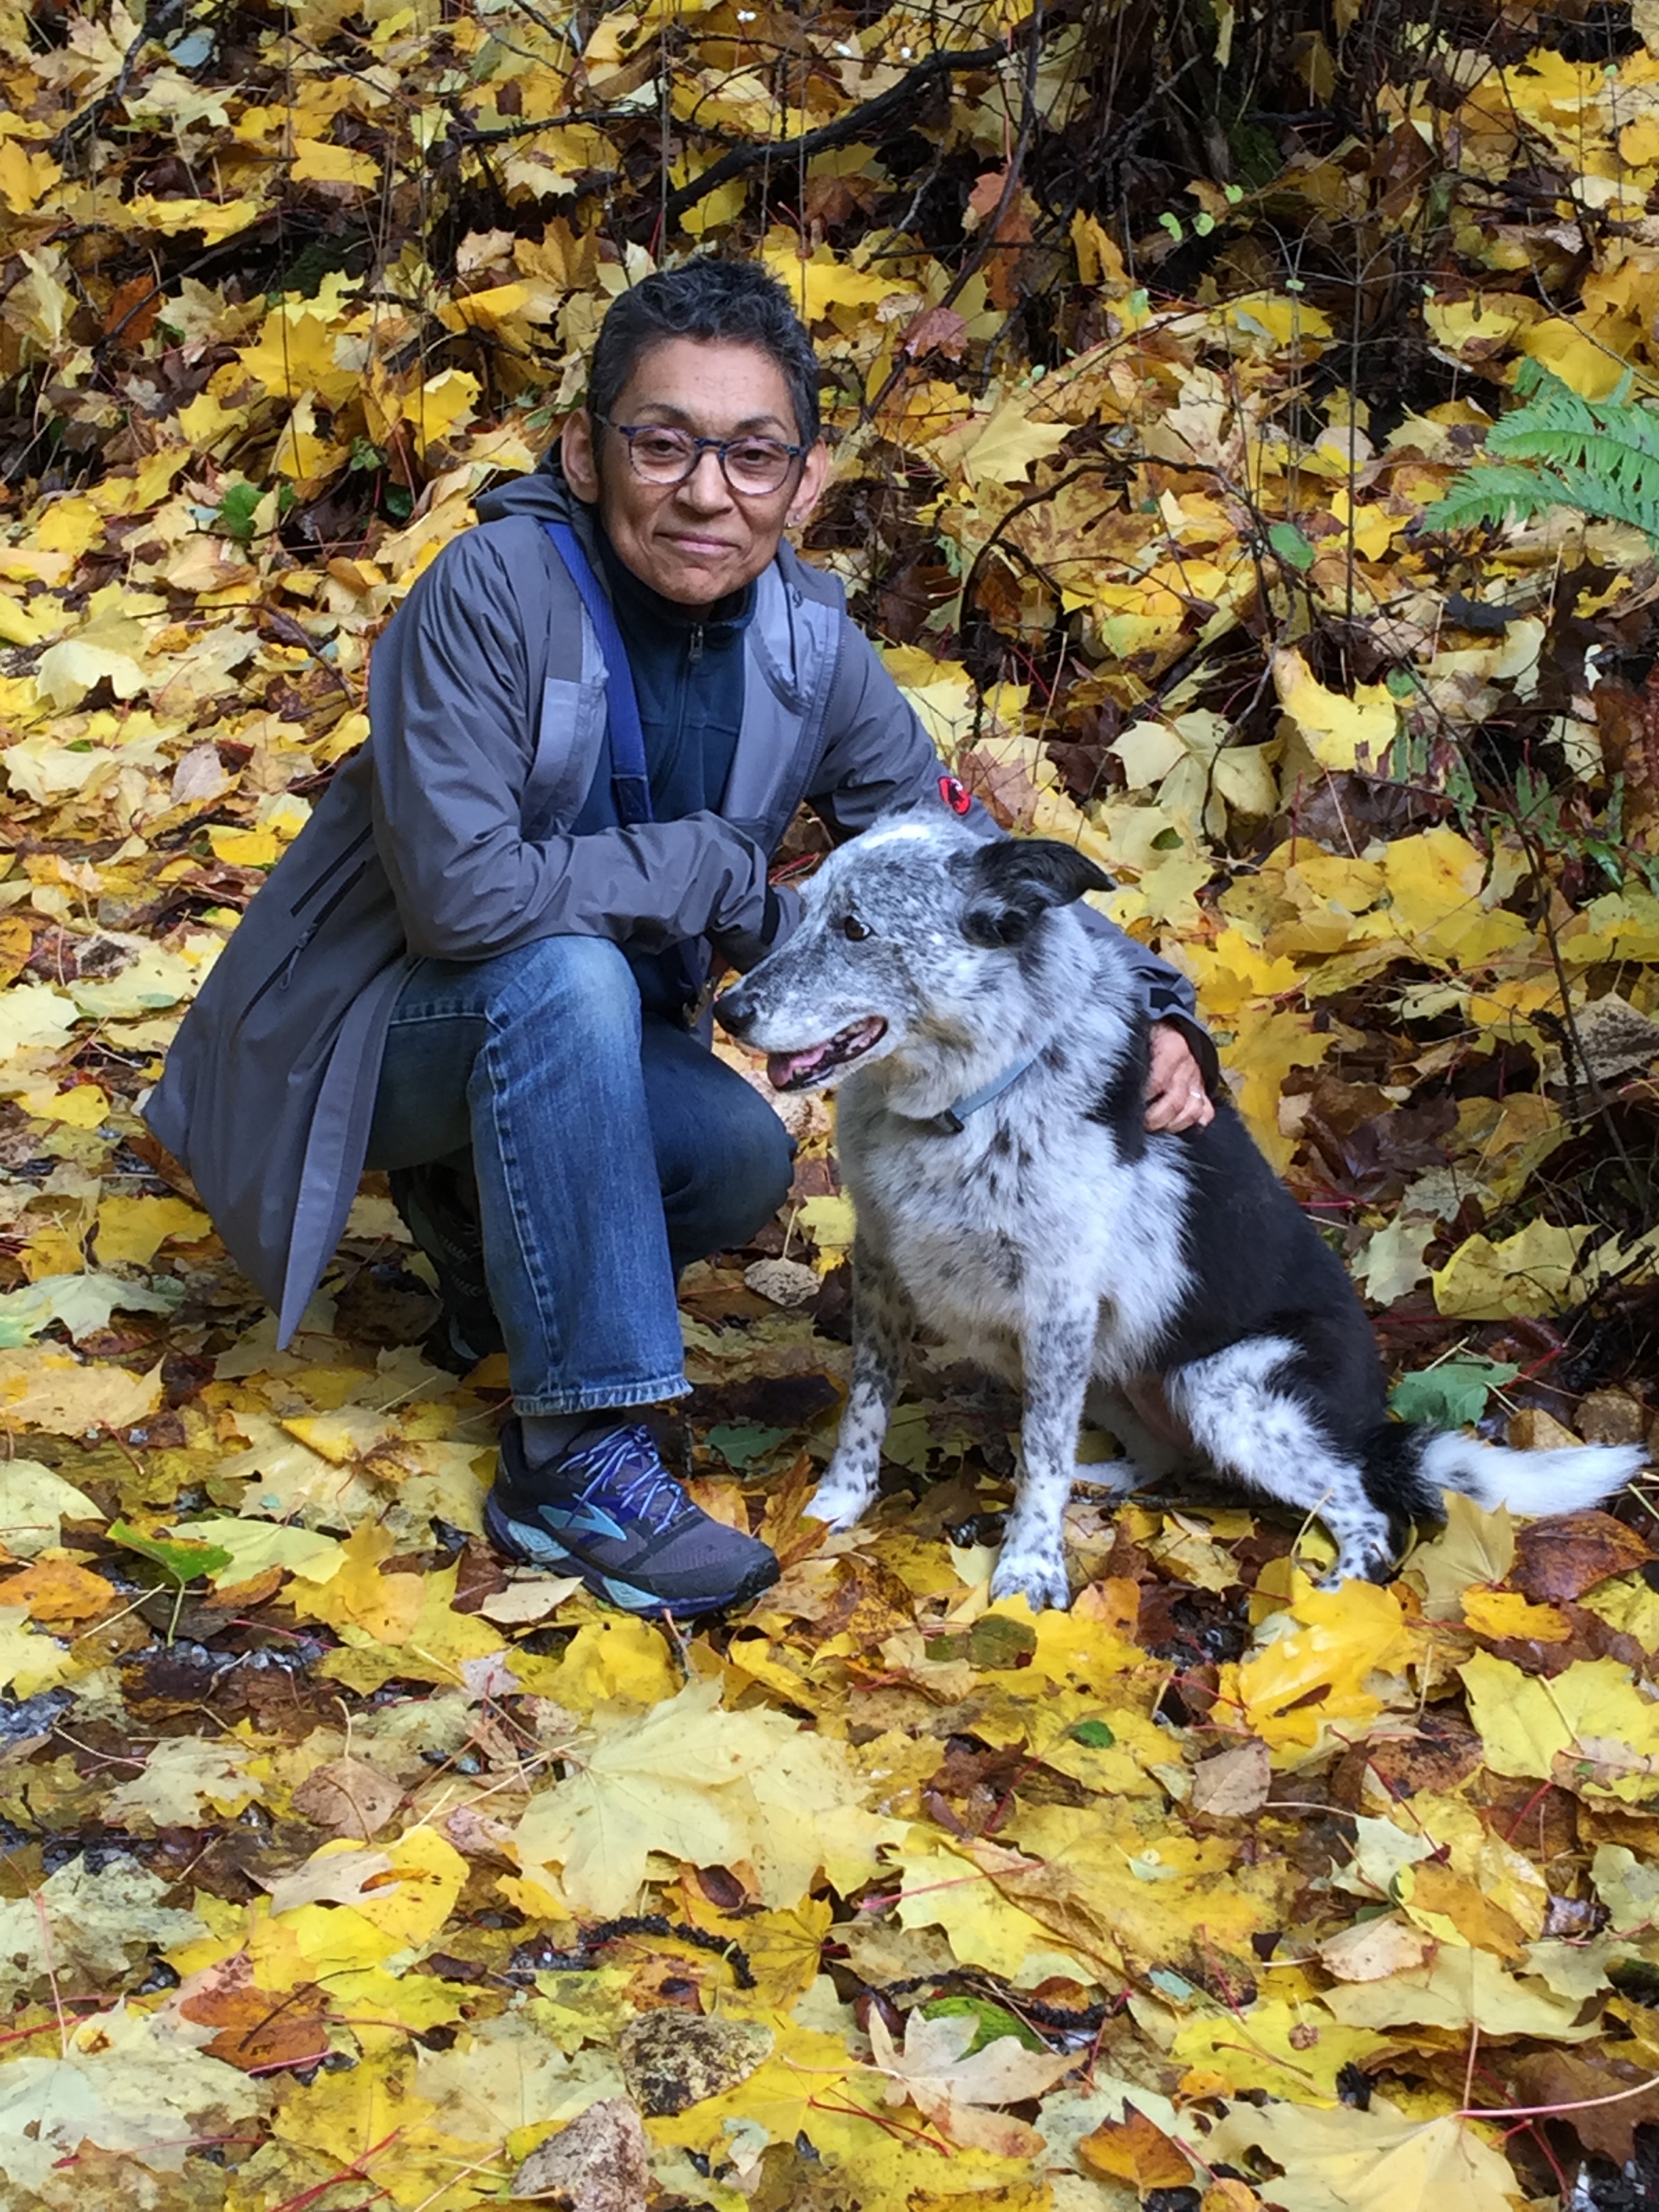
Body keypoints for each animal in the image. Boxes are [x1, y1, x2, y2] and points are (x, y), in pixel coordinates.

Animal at [716, 814, 1654, 1610]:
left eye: (856, 930)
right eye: (806, 912)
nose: (729, 1009)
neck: (973, 1102)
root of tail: (1371, 1424)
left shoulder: (1057, 1306)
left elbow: (1040, 1456)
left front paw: (1030, 1567)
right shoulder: (884, 1267)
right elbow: (869, 1406)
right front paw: (833, 1509)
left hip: (1223, 1390)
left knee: (1367, 1510)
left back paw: (1326, 1608)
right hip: (1117, 1374)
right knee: (1164, 1460)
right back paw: (1105, 1484)